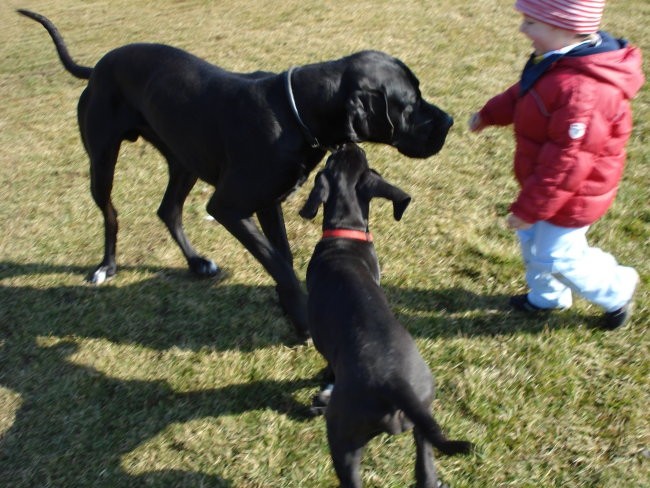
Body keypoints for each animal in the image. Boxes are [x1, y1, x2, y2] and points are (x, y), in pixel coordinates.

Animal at [17, 9, 454, 338]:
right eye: (409, 104)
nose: (449, 121)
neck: (294, 111)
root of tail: (97, 66)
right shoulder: (229, 206)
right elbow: (278, 263)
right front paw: (301, 316)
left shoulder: (268, 202)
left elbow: (282, 256)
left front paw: (290, 307)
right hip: (103, 161)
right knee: (111, 212)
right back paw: (106, 267)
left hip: (184, 160)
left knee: (168, 209)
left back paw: (197, 263)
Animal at [298, 144, 470, 488]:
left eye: (333, 159)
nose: (349, 143)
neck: (346, 233)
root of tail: (395, 383)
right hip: (424, 422)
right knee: (425, 472)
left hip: (343, 437)